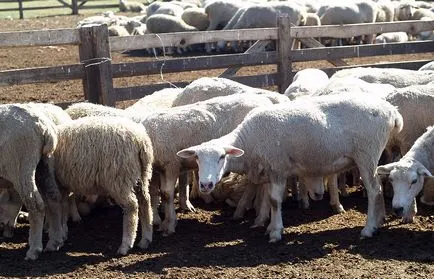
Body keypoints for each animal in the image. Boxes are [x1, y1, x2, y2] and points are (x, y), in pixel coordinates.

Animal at [177, 94, 404, 243]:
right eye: (197, 159)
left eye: (221, 157)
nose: (206, 185)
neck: (250, 141)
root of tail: (392, 111)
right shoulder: (269, 169)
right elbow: (267, 199)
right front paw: (266, 224)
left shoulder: (278, 167)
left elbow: (275, 201)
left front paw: (276, 232)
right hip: (371, 156)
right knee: (379, 186)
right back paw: (379, 221)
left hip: (366, 153)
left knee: (374, 190)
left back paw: (368, 229)